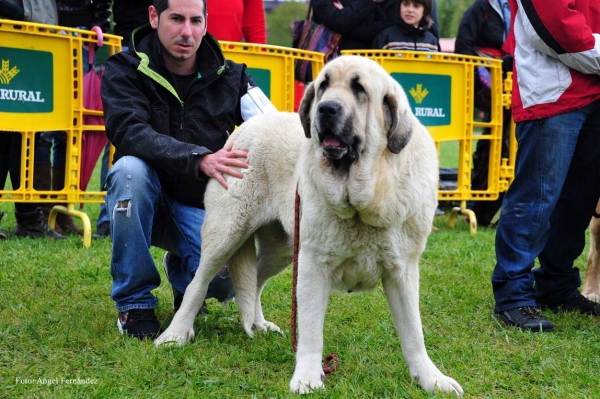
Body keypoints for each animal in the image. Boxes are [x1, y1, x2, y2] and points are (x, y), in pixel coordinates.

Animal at [156, 56, 464, 396]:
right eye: (323, 86)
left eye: (359, 89)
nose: (326, 109)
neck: (364, 200)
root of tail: (245, 128)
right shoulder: (314, 266)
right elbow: (311, 331)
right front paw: (306, 377)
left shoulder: (403, 271)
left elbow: (413, 333)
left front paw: (431, 378)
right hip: (227, 233)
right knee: (198, 284)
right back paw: (175, 334)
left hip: (283, 249)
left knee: (252, 280)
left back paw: (258, 324)